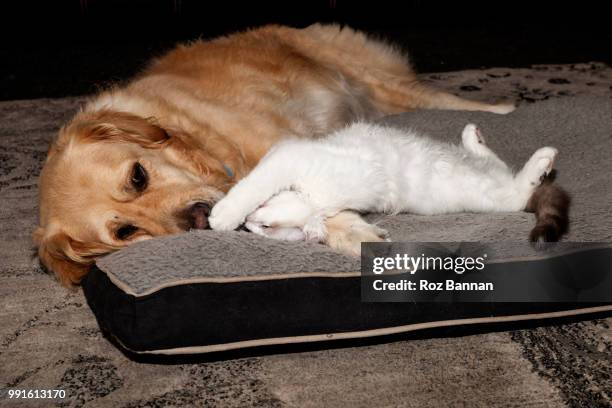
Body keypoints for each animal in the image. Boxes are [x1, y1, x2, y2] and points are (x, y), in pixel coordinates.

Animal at [209, 122, 560, 241]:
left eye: (265, 226)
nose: (249, 224)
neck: (314, 197)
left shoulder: (289, 158)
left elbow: (251, 185)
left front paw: (222, 216)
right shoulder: (285, 157)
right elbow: (253, 181)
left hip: (495, 198)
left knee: (518, 193)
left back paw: (544, 159)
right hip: (489, 176)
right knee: (495, 162)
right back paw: (474, 137)